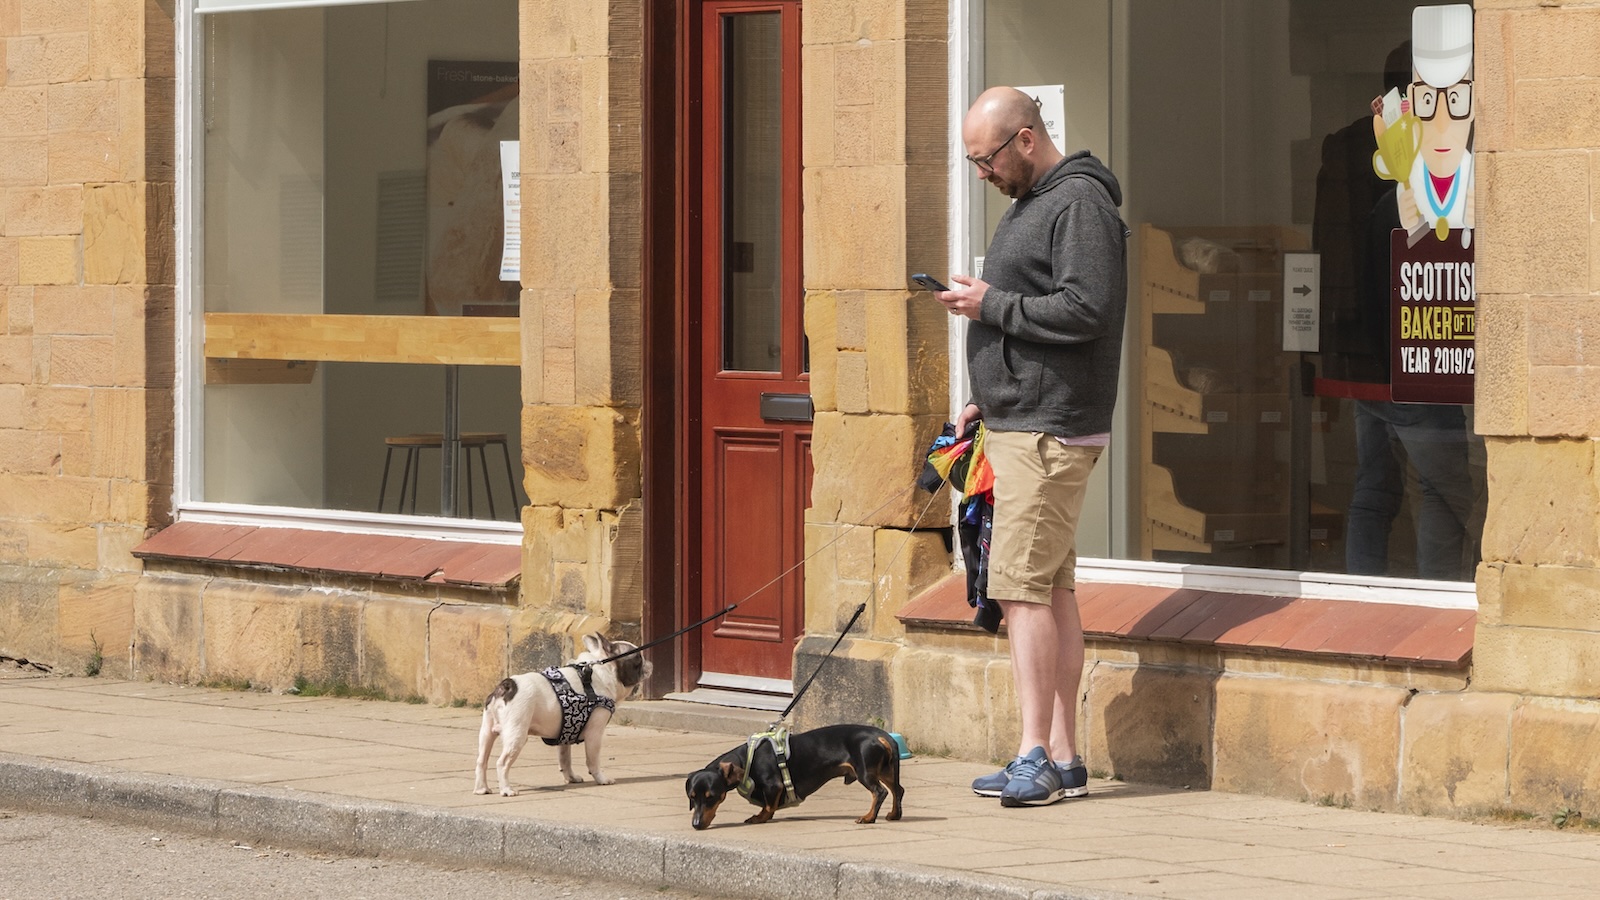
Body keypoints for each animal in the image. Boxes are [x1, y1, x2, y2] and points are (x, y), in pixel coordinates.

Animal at [473, 630, 649, 791]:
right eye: (638, 659)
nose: (649, 663)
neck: (600, 672)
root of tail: (506, 686)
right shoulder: (595, 733)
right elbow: (593, 760)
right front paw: (601, 779)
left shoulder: (566, 732)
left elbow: (565, 759)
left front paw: (571, 778)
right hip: (516, 734)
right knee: (502, 763)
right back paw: (506, 790)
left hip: (486, 732)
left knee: (482, 760)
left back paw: (482, 789)